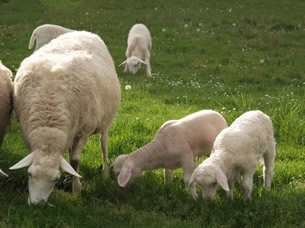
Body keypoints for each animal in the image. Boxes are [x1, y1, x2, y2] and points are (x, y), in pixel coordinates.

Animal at [9, 30, 121, 205]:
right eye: (29, 174)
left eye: (56, 179)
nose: (37, 204)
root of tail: (83, 32)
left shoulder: (84, 131)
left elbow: (75, 161)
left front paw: (76, 190)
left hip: (104, 120)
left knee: (104, 143)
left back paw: (105, 172)